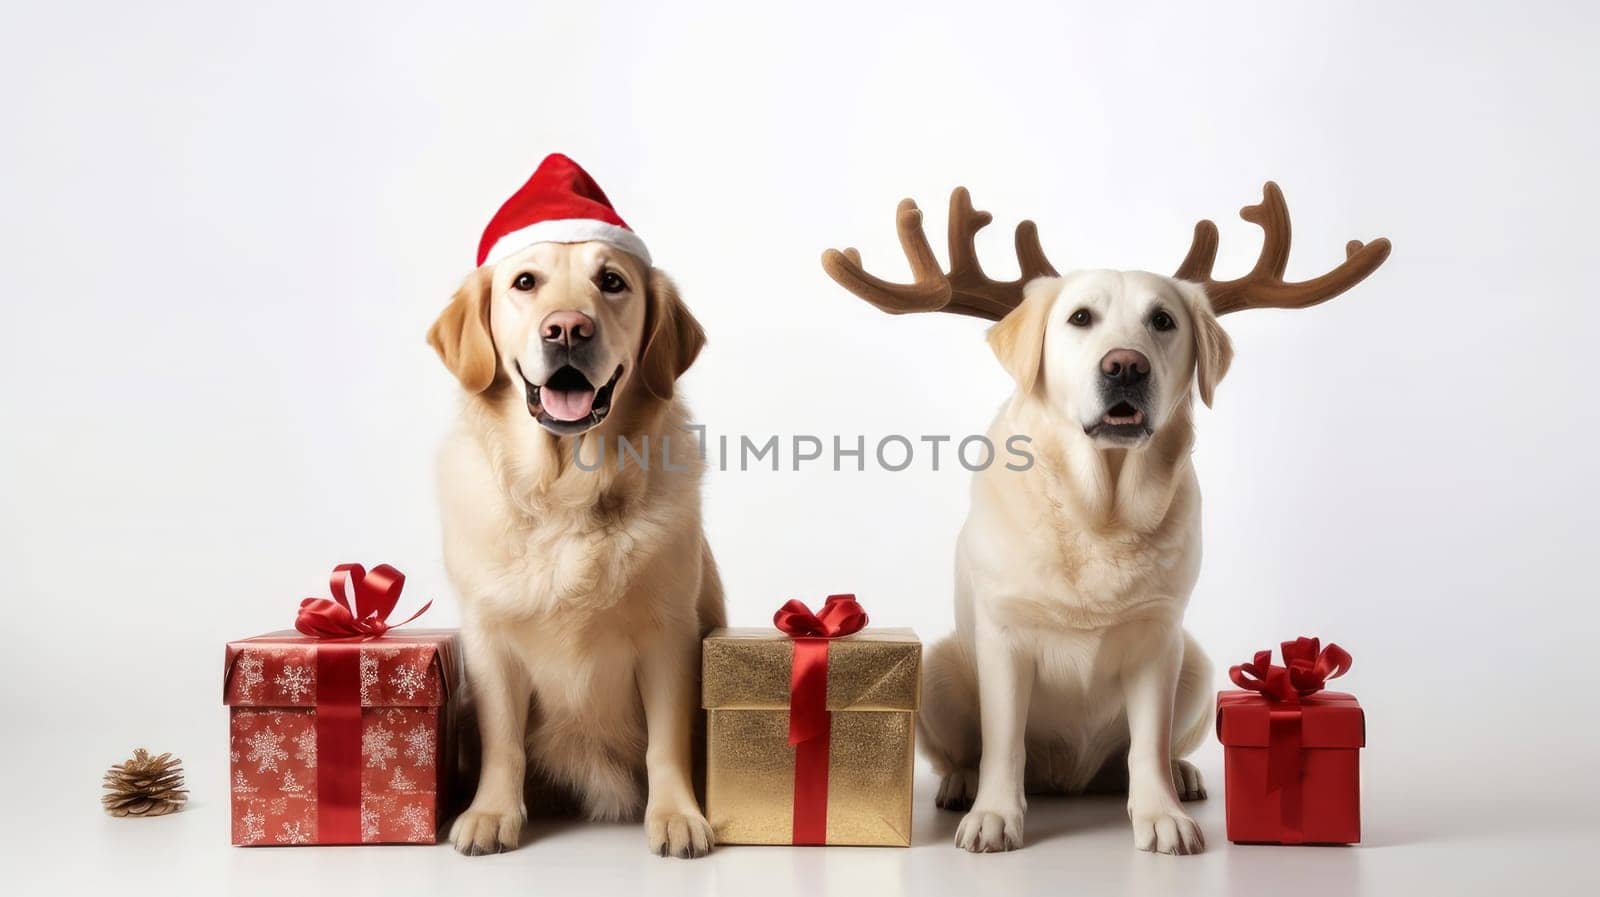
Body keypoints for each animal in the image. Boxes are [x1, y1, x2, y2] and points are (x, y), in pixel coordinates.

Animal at [428, 228, 723, 850]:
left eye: (611, 281)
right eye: (525, 282)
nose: (567, 328)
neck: (565, 498)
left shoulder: (669, 635)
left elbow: (665, 744)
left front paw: (676, 815)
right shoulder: (489, 639)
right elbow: (503, 743)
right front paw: (492, 812)